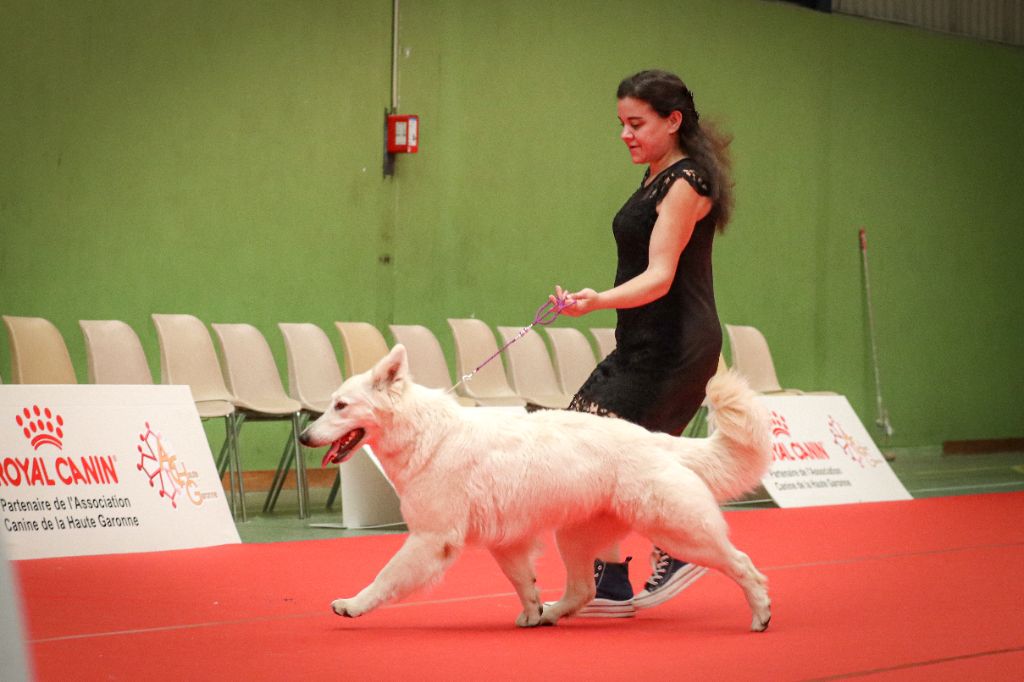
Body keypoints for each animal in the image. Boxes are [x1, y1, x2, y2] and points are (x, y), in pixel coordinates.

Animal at [299, 342, 770, 630]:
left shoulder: (430, 539)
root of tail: (657, 439)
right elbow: (524, 583)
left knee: (743, 564)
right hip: (574, 538)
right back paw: (551, 613)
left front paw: (354, 605)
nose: (303, 437)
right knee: (582, 589)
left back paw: (760, 613)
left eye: (341, 406)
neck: (427, 435)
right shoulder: (507, 544)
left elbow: (384, 577)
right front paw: (531, 612)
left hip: (678, 530)